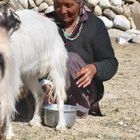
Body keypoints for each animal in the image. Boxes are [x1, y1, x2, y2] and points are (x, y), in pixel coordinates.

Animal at [0, 4, 68, 140]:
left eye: (10, 11)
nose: (19, 21)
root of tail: (51, 22)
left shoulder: (10, 79)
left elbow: (7, 104)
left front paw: (8, 133)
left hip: (56, 65)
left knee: (59, 96)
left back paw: (61, 125)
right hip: (28, 74)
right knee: (40, 93)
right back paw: (35, 121)